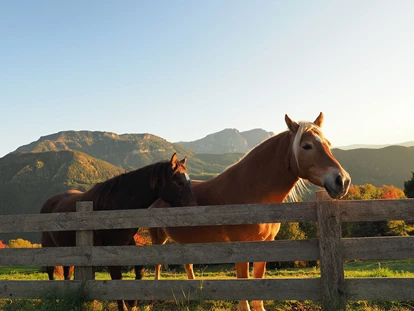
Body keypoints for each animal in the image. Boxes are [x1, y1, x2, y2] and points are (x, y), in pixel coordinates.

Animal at [40, 154, 196, 311]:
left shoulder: (126, 243)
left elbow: (139, 270)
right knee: (50, 270)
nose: (193, 206)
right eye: (178, 182)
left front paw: (132, 302)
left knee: (67, 271)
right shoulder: (110, 250)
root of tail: (48, 202)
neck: (114, 206)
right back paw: (53, 301)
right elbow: (117, 278)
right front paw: (124, 306)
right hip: (49, 246)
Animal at [149, 113, 350, 311]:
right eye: (306, 146)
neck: (250, 192)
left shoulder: (265, 243)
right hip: (158, 239)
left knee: (187, 263)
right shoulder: (240, 246)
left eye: (328, 144)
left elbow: (257, 281)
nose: (342, 181)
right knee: (157, 263)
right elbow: (244, 283)